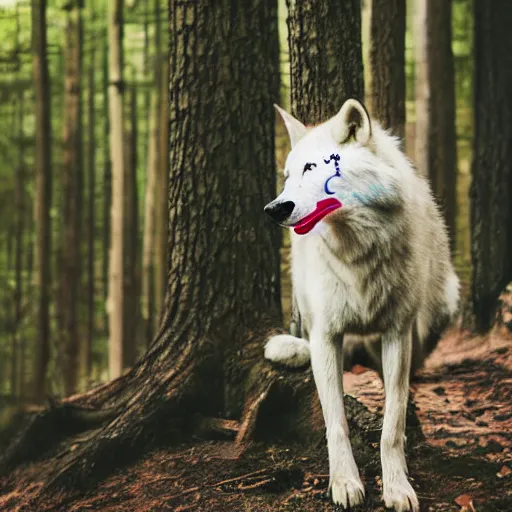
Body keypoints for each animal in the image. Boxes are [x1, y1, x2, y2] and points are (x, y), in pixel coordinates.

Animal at [264, 100, 460, 512]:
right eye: (287, 175)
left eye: (312, 168)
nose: (273, 208)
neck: (358, 254)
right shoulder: (325, 335)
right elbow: (335, 422)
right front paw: (344, 483)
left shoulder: (397, 334)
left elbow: (392, 425)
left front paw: (397, 487)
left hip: (442, 306)